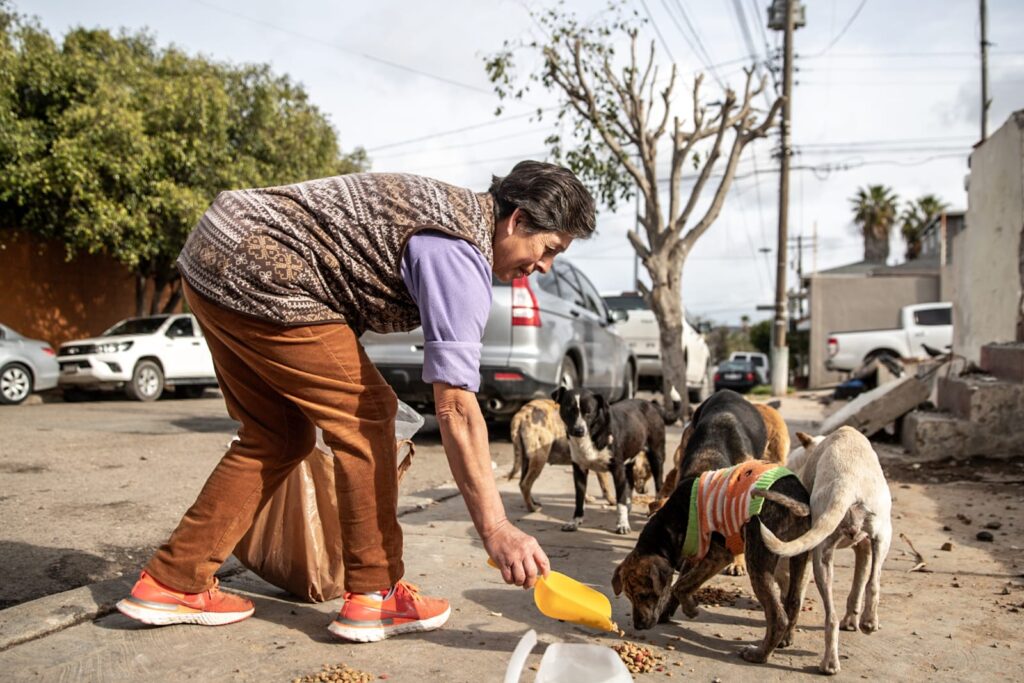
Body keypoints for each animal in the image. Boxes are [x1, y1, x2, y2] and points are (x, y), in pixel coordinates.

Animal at [552, 387, 679, 536]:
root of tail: (652, 404)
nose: (579, 430)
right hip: (629, 460)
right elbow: (579, 498)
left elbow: (620, 502)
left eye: (588, 412)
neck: (593, 434)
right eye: (569, 410)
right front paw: (575, 522)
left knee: (659, 484)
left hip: (656, 457)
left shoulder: (617, 469)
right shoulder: (579, 470)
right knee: (630, 482)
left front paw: (622, 524)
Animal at [610, 462, 811, 663]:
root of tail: (797, 498)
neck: (668, 525)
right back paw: (786, 638)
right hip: (798, 556)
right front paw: (669, 612)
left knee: (778, 617)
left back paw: (759, 654)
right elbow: (681, 584)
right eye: (629, 596)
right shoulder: (693, 556)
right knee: (794, 601)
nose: (638, 626)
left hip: (758, 558)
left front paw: (690, 609)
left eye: (644, 595)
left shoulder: (718, 556)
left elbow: (679, 586)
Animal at [757, 430, 892, 675]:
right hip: (874, 539)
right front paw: (852, 621)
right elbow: (858, 584)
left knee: (836, 611)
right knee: (869, 587)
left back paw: (831, 659)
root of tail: (849, 482)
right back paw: (863, 628)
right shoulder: (863, 547)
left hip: (827, 554)